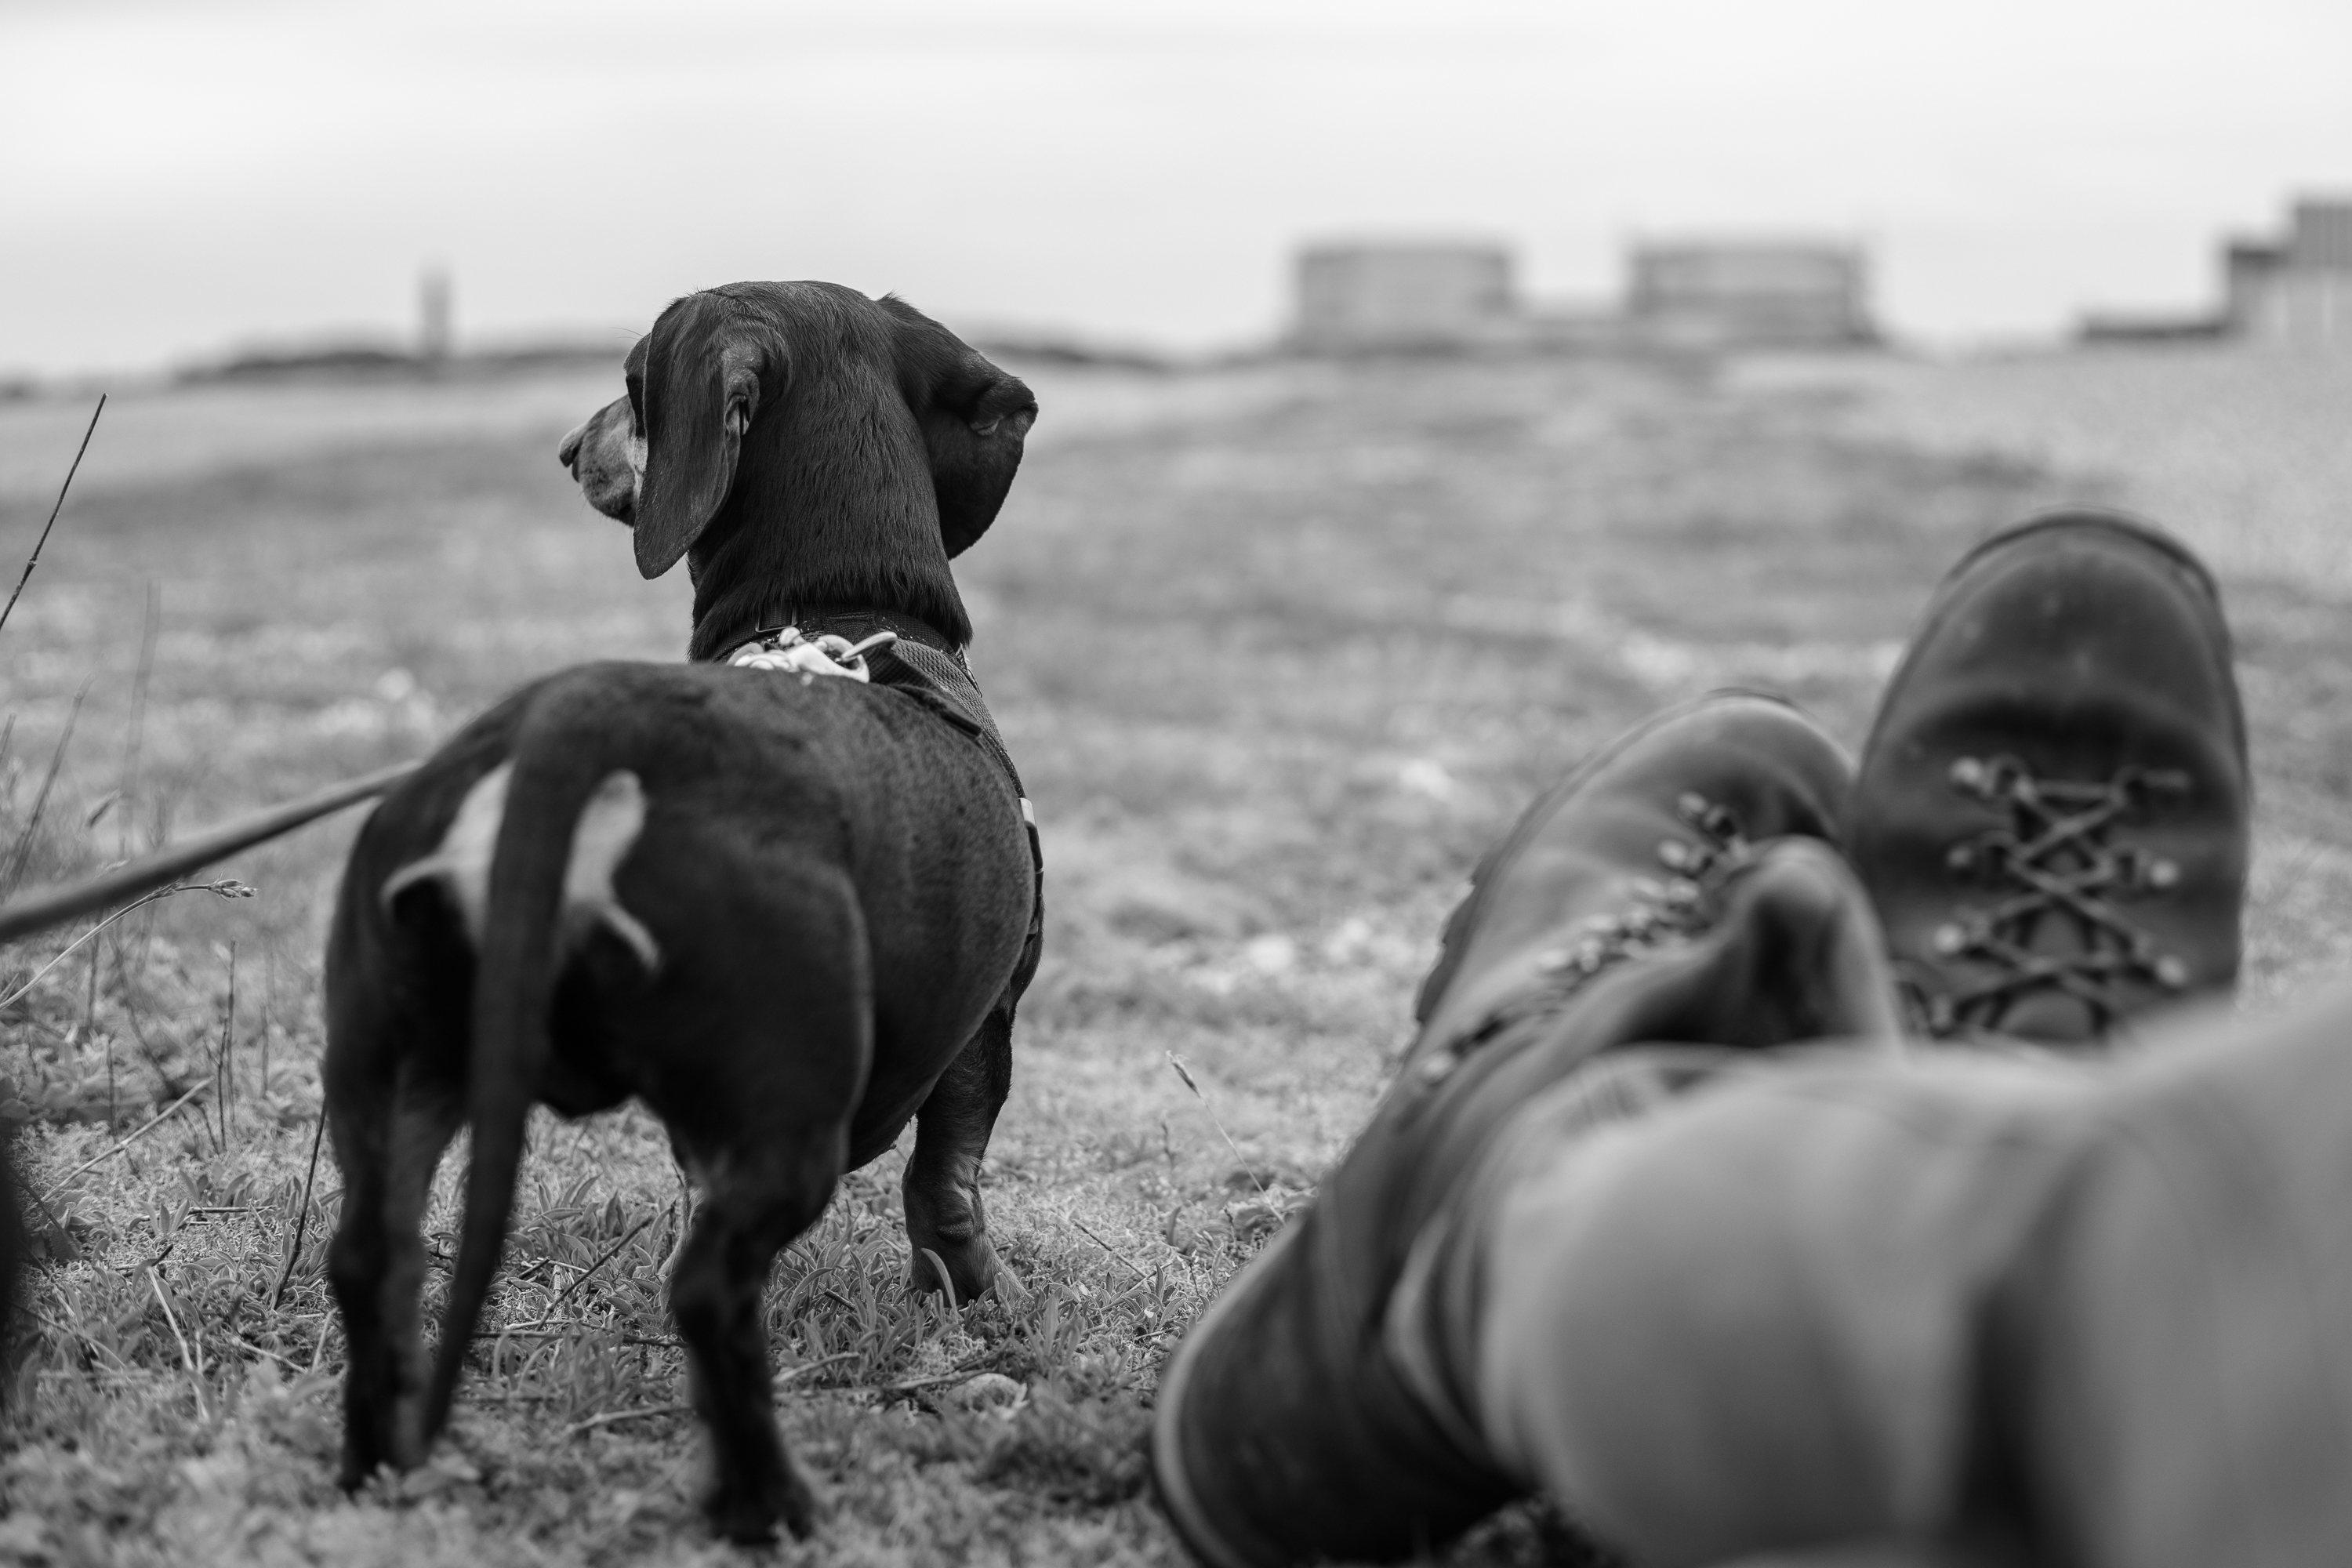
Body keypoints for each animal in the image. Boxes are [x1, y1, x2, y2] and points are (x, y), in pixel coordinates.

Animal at [320, 276, 1040, 1542]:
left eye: (630, 380)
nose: (569, 449)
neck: (837, 608)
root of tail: (579, 727)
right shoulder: (984, 1024)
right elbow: (946, 1184)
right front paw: (971, 1307)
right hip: (791, 1106)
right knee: (707, 1292)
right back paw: (769, 1503)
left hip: (406, 1056)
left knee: (371, 1256)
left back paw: (377, 1471)